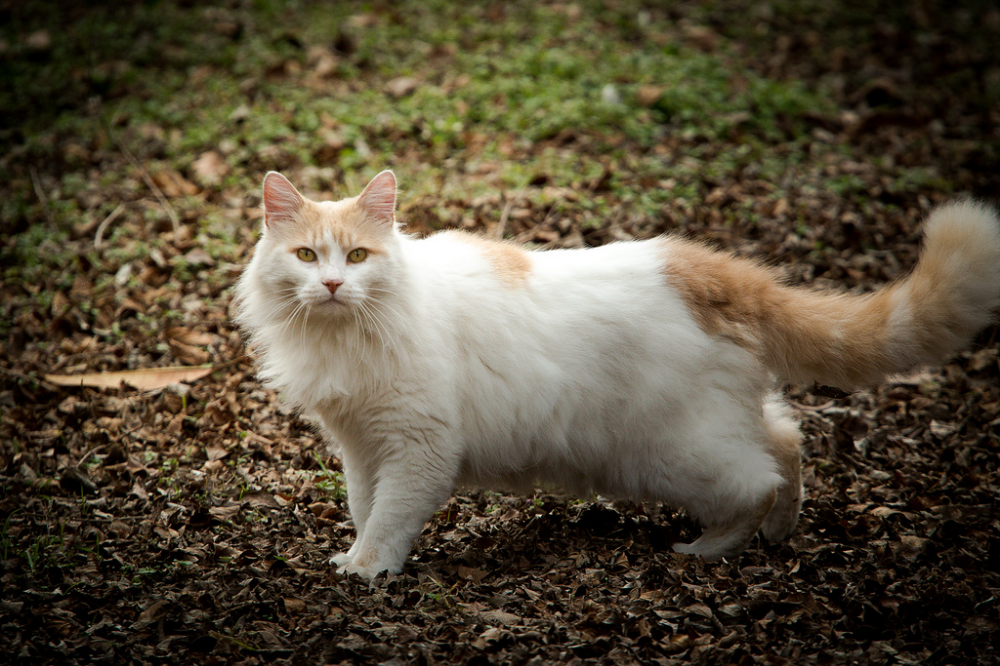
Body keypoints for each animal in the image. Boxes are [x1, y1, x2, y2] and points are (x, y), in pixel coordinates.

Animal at [232, 170, 1000, 576]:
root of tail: (701, 266)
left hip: (671, 453)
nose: (333, 285)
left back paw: (703, 550)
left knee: (756, 481)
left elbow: (391, 515)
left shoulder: (417, 446)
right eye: (307, 256)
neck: (345, 336)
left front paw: (367, 569)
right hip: (720, 423)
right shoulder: (362, 445)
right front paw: (359, 556)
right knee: (787, 443)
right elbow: (366, 506)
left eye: (358, 257)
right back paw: (782, 534)